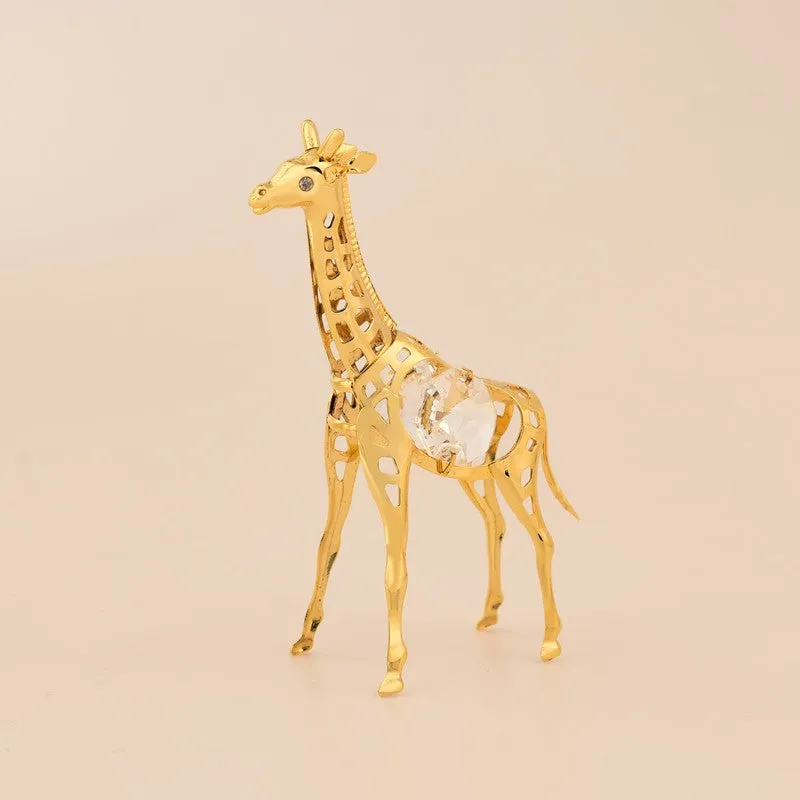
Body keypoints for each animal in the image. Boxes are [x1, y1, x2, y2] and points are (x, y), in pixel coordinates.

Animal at [248, 120, 579, 697]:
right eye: (282, 164)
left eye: (307, 179)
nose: (258, 195)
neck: (354, 360)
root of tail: (533, 402)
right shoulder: (341, 452)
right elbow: (326, 543)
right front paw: (304, 639)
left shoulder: (389, 461)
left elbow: (394, 563)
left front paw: (393, 672)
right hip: (478, 476)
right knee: (496, 524)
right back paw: (489, 616)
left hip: (518, 472)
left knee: (544, 538)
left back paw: (550, 643)